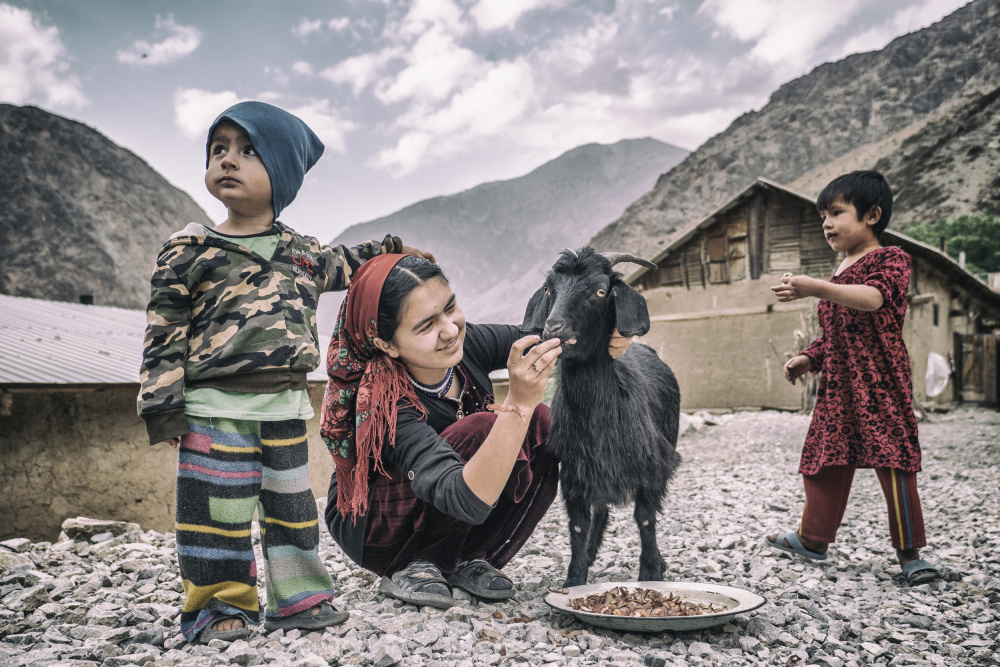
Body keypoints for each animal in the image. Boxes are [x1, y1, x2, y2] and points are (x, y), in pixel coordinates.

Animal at [520, 248, 684, 588]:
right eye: (549, 289)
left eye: (599, 291)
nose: (554, 327)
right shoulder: (575, 473)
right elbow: (578, 526)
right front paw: (574, 580)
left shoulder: (652, 466)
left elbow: (645, 519)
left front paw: (651, 572)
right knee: (601, 511)